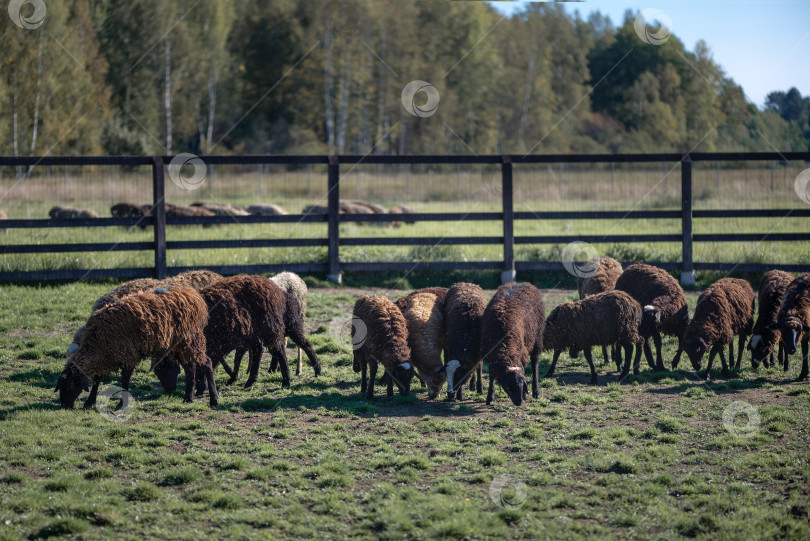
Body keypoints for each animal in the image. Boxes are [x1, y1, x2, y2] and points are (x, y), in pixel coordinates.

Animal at [54, 284, 216, 408]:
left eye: (68, 385)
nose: (64, 406)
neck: (96, 343)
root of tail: (192, 294)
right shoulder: (106, 357)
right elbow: (97, 380)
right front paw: (90, 401)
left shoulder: (127, 356)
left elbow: (124, 381)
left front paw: (121, 404)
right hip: (177, 346)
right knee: (190, 368)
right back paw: (188, 398)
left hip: (190, 339)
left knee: (207, 362)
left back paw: (213, 400)